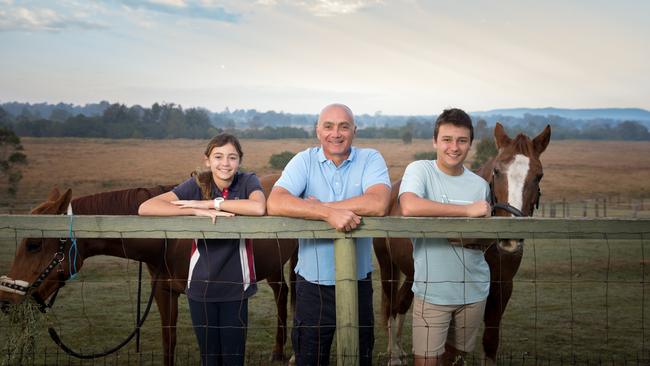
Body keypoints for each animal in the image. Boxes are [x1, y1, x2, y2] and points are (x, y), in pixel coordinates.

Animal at [0, 174, 298, 366]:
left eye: (34, 244)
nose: (6, 299)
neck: (168, 238)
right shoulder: (164, 293)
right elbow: (169, 342)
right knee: (282, 293)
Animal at [372, 123, 548, 366]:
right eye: (497, 171)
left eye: (538, 176)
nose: (510, 239)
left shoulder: (503, 287)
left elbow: (490, 340)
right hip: (387, 266)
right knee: (390, 306)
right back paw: (395, 355)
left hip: (413, 273)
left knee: (401, 303)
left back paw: (399, 348)